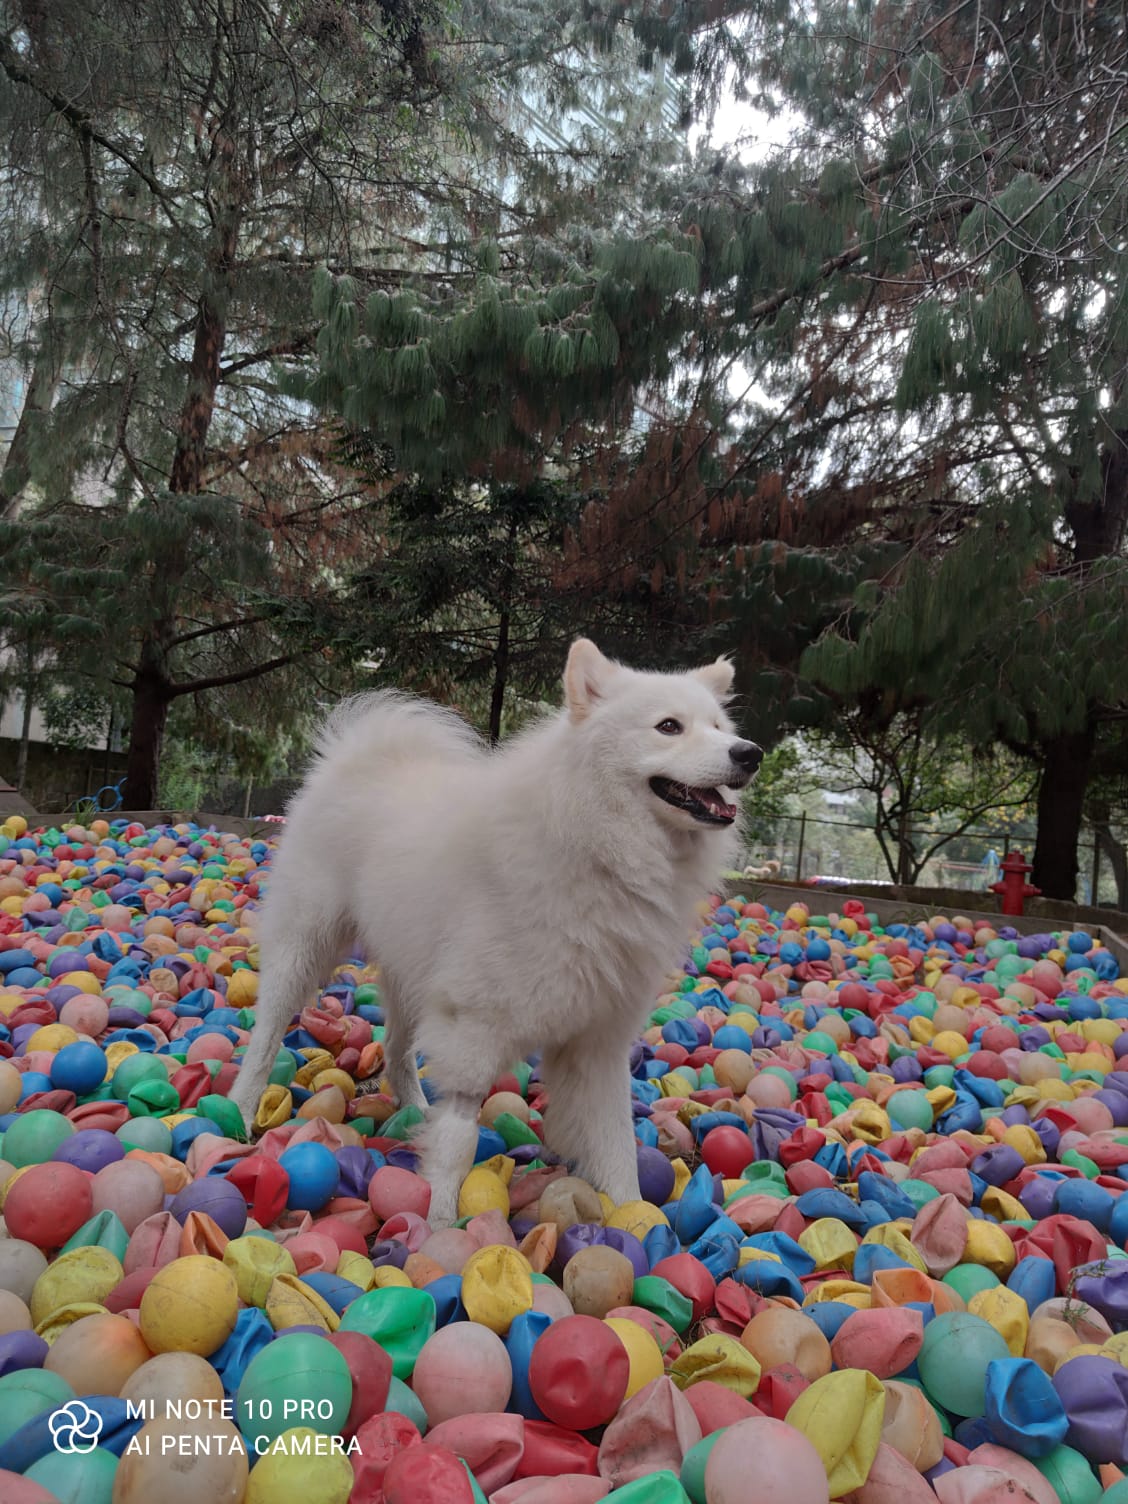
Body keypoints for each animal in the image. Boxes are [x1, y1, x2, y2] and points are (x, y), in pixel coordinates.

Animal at [228, 634, 764, 1221]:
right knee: (268, 1034)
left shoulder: (599, 1042)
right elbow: (460, 1136)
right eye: (669, 726)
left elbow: (615, 1140)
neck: (598, 847)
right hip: (306, 946)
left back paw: (416, 1110)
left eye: (719, 726)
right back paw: (242, 1110)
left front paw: (632, 1214)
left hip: (412, 976)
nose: (749, 752)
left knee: (396, 1050)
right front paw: (439, 1220)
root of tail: (359, 757)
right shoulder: (475, 1026)